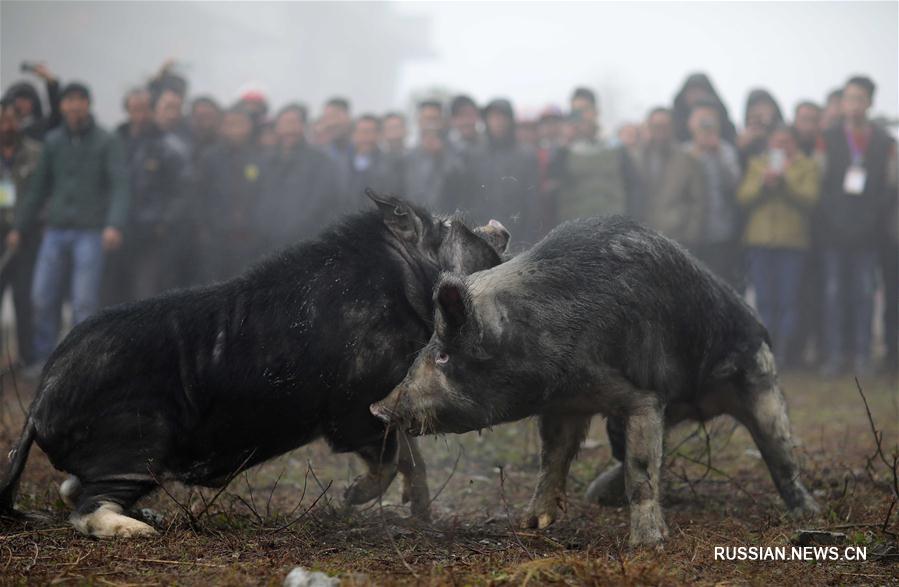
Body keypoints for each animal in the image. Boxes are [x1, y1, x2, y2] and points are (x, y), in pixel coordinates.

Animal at [0, 192, 506, 536]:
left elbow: (410, 455)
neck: (402, 286)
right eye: (444, 226)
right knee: (86, 508)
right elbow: (389, 454)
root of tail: (38, 404)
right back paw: (142, 530)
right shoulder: (352, 408)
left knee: (72, 491)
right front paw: (351, 499)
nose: (500, 228)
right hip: (135, 445)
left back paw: (149, 515)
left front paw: (420, 513)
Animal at [370, 218, 820, 548]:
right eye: (428, 345)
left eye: (444, 355)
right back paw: (598, 494)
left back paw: (808, 512)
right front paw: (532, 524)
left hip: (760, 380)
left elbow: (641, 469)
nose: (379, 407)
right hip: (663, 412)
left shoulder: (643, 396)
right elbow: (552, 460)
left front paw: (648, 545)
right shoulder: (564, 406)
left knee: (780, 452)